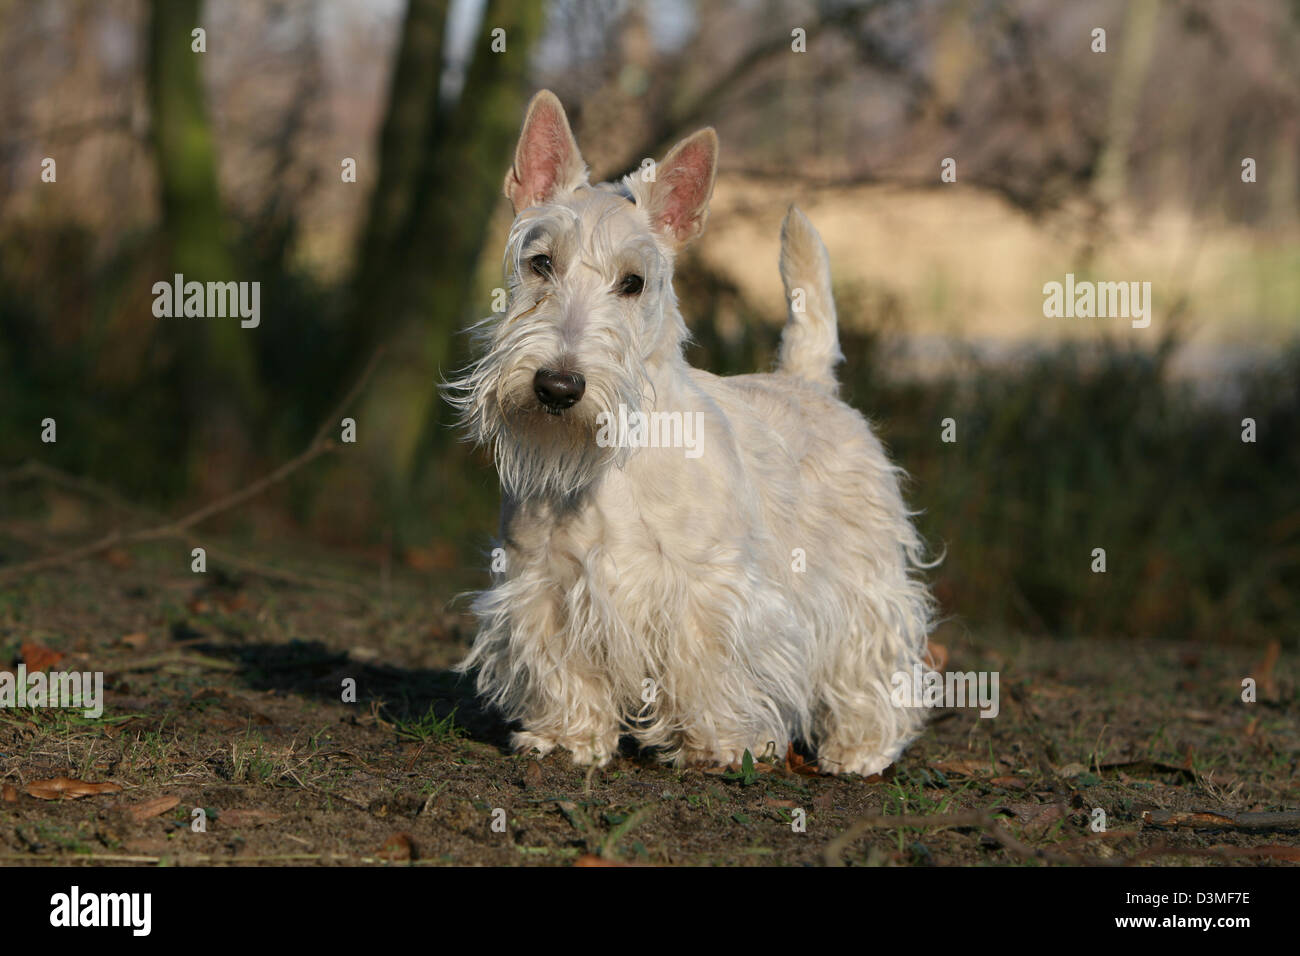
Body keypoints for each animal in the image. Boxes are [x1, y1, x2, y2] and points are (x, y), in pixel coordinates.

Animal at [447, 89, 935, 780]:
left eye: (633, 282)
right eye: (541, 264)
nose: (558, 386)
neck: (608, 466)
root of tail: (810, 382)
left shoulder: (708, 587)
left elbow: (709, 665)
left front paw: (720, 745)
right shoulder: (542, 580)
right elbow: (564, 666)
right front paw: (568, 737)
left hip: (863, 578)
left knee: (872, 660)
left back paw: (860, 748)